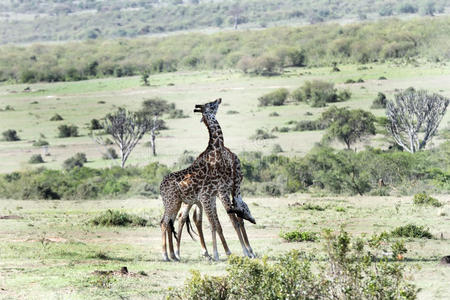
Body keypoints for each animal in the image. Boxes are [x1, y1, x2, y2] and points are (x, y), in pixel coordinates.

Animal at [159, 98, 253, 260]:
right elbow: (226, 222)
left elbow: (219, 223)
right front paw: (230, 253)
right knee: (167, 222)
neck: (217, 152)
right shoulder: (216, 193)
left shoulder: (214, 195)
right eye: (211, 104)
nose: (219, 99)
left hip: (178, 202)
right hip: (173, 202)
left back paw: (175, 255)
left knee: (173, 221)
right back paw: (167, 255)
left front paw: (221, 253)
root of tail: (160, 186)